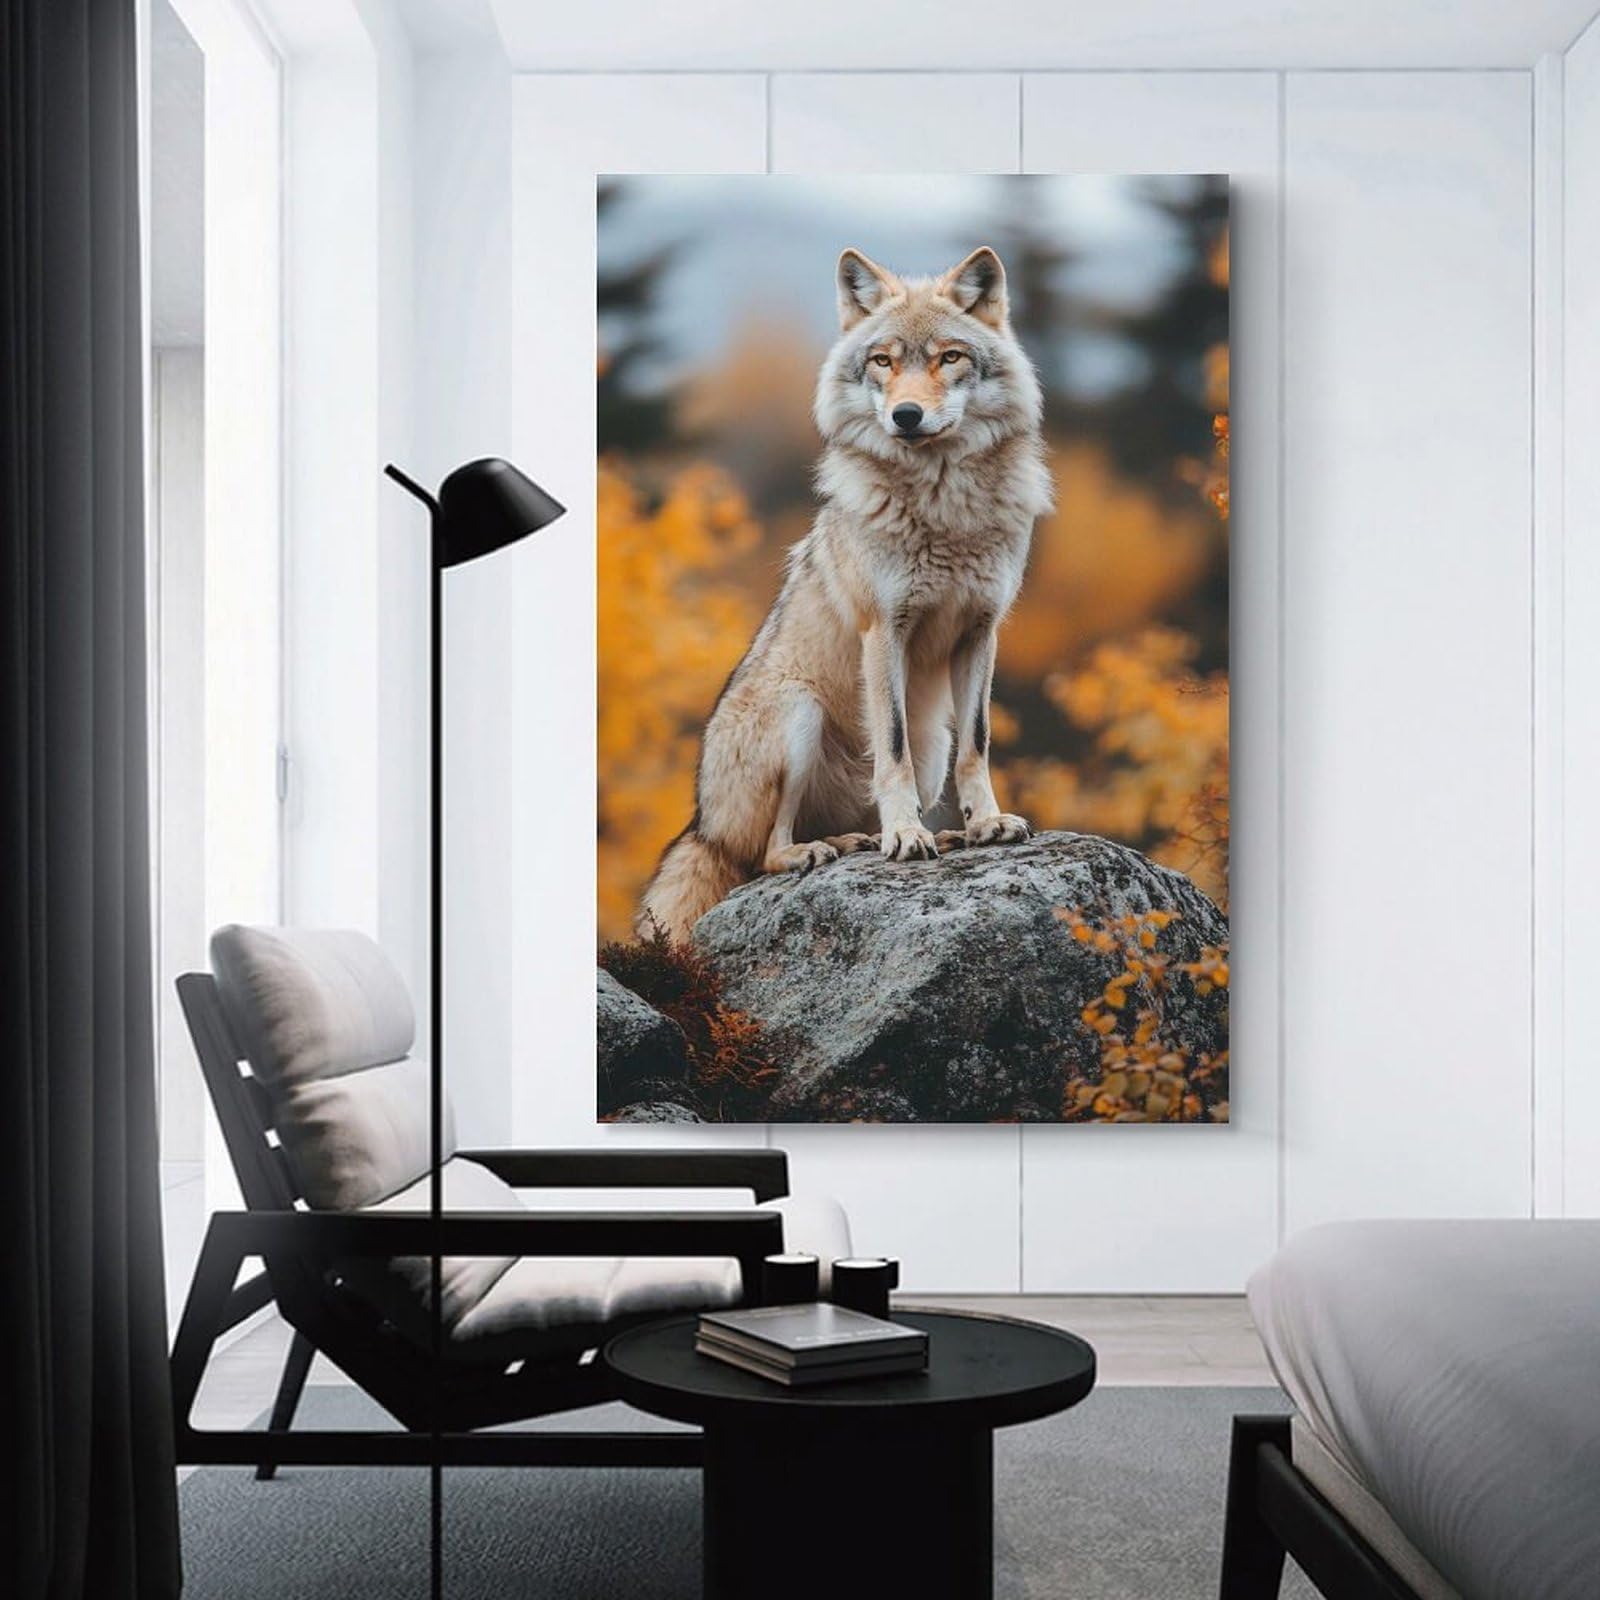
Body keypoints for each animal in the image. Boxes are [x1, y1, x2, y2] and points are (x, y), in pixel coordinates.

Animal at [638, 244, 1053, 941]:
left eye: (949, 357)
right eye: (883, 361)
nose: (906, 416)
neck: (943, 504)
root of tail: (700, 824)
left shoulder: (981, 631)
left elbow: (979, 745)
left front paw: (985, 824)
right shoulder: (883, 631)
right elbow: (891, 752)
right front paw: (907, 835)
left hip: (932, 741)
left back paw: (870, 839)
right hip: (797, 712)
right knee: (765, 854)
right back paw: (820, 850)